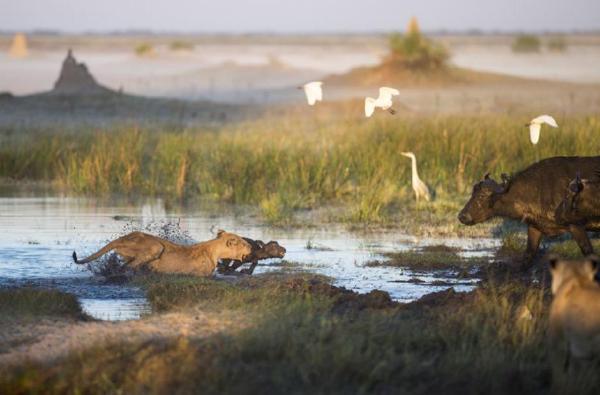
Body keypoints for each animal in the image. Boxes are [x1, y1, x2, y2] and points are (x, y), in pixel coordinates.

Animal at [458, 155, 600, 266]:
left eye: (482, 196)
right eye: (472, 193)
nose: (462, 216)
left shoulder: (576, 226)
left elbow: (589, 253)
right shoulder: (534, 228)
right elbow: (527, 257)